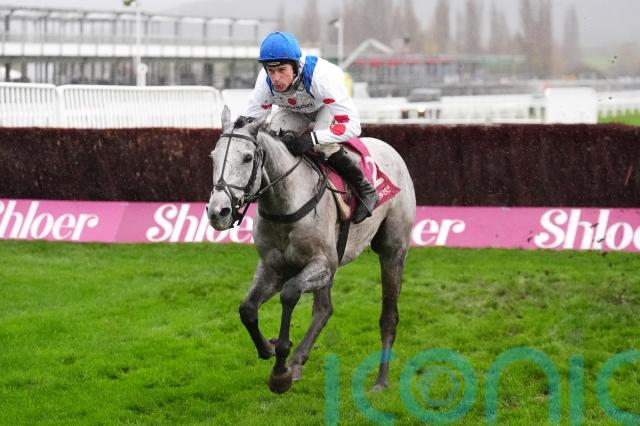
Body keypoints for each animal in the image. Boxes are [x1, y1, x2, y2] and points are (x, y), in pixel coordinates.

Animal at [207, 105, 416, 394]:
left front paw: (280, 370)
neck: (284, 204)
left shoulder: (321, 264)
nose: (218, 212)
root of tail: (390, 149)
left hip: (392, 251)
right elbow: (247, 309)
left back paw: (380, 380)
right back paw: (297, 362)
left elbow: (290, 293)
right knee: (324, 310)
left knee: (388, 317)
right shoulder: (274, 267)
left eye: (248, 158)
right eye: (213, 157)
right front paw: (269, 349)